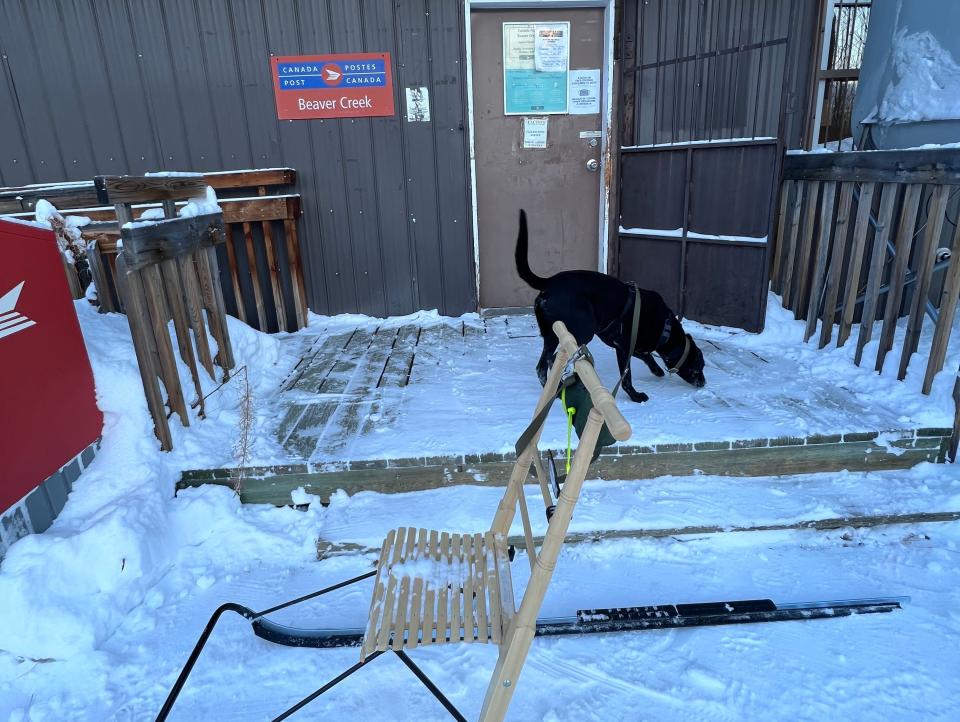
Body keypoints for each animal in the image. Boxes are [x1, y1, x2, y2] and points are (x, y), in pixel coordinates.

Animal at [516, 208, 704, 402]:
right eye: (700, 364)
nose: (703, 382)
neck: (665, 326)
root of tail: (549, 283)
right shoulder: (624, 347)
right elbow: (626, 376)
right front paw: (636, 396)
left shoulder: (628, 345)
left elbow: (646, 355)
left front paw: (657, 369)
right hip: (582, 332)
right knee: (554, 360)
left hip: (552, 335)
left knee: (542, 366)